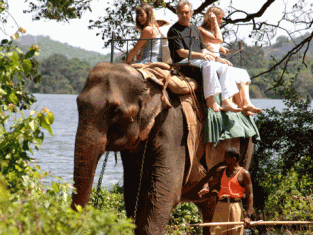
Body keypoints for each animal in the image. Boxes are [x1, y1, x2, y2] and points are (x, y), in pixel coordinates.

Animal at [71, 61, 254, 234]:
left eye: (115, 110)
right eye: (78, 104)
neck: (147, 79)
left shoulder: (174, 129)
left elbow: (165, 194)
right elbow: (133, 191)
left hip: (246, 147)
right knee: (210, 203)